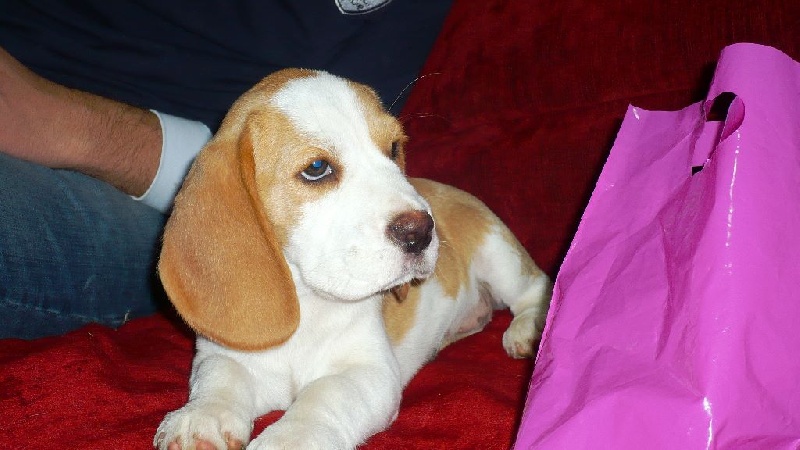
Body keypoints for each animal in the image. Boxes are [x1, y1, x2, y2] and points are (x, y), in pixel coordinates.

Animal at [154, 69, 551, 450]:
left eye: (394, 147)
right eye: (317, 167)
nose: (422, 231)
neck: (307, 303)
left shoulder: (368, 373)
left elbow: (323, 396)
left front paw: (289, 439)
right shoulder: (221, 355)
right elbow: (220, 380)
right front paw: (200, 417)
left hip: (498, 254)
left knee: (535, 289)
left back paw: (528, 330)